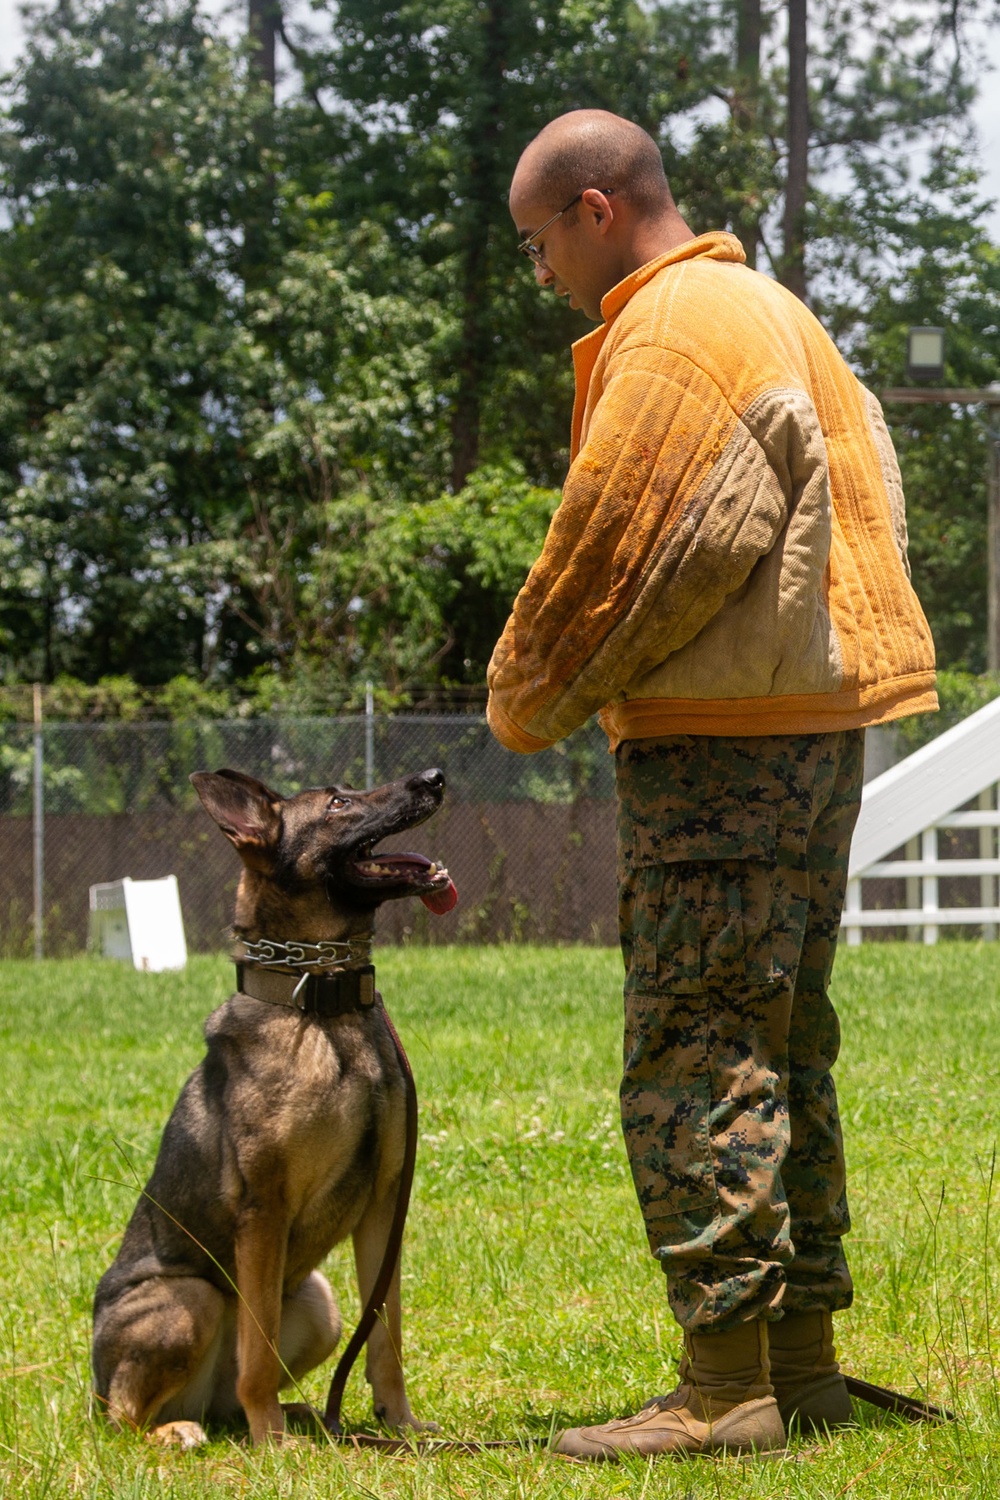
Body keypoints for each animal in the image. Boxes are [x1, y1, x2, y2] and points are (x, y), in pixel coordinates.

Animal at [89, 768, 458, 1446]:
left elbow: (386, 1337)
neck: (324, 1005)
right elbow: (257, 1352)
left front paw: (400, 1426)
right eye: (339, 803)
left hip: (319, 1301)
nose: (434, 777)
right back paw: (188, 1431)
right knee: (125, 1419)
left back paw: (301, 1417)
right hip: (193, 1298)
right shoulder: (264, 1212)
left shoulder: (384, 1208)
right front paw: (271, 1445)